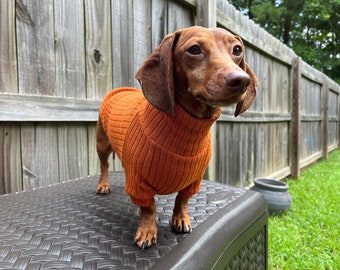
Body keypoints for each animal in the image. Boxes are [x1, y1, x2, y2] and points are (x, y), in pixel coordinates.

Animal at [96, 26, 258, 250]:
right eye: (194, 49)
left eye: (237, 49)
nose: (242, 80)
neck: (186, 131)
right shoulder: (139, 182)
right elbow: (149, 208)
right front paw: (147, 231)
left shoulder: (193, 181)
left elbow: (182, 200)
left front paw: (180, 219)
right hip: (102, 144)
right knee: (103, 166)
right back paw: (103, 185)